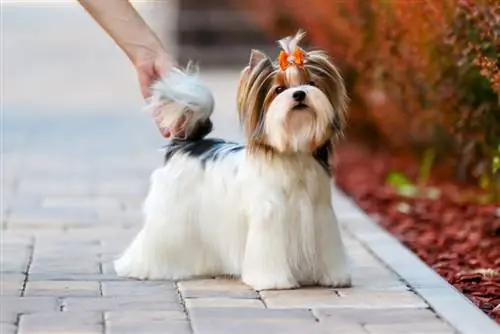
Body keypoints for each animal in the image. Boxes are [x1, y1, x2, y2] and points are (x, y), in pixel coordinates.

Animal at [115, 32, 354, 292]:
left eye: (311, 83)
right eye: (279, 89)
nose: (299, 94)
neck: (293, 151)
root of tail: (185, 144)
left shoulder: (321, 215)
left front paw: (333, 276)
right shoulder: (269, 217)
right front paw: (273, 281)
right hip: (172, 212)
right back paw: (138, 267)